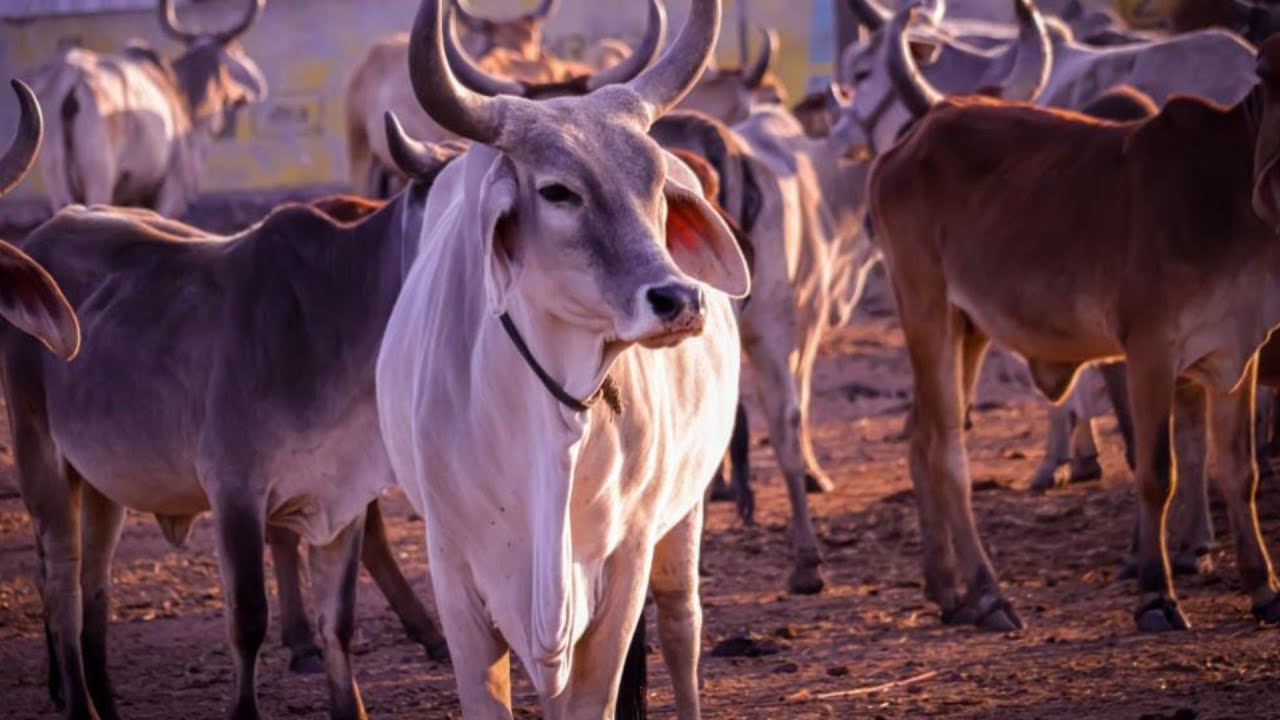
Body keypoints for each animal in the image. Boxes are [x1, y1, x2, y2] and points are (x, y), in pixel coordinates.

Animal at [6, 97, 469, 719]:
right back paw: (78, 701)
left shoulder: (343, 498)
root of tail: (47, 232)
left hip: (104, 480)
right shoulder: (235, 490)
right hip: (41, 455)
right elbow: (248, 620)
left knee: (94, 582)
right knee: (60, 583)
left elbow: (339, 622)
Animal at [30, 0, 267, 218]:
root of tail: (70, 77)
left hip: (57, 181)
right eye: (236, 50)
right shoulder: (170, 189)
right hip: (99, 177)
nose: (247, 94)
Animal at [867, 5, 1280, 633]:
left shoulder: (1238, 353)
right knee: (944, 446)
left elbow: (1240, 471)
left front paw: (1263, 587)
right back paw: (987, 594)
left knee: (919, 435)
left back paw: (948, 590)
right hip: (925, 307)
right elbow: (1156, 471)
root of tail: (916, 136)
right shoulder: (1150, 350)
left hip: (968, 328)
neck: (1227, 195)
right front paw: (1156, 595)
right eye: (1271, 76)